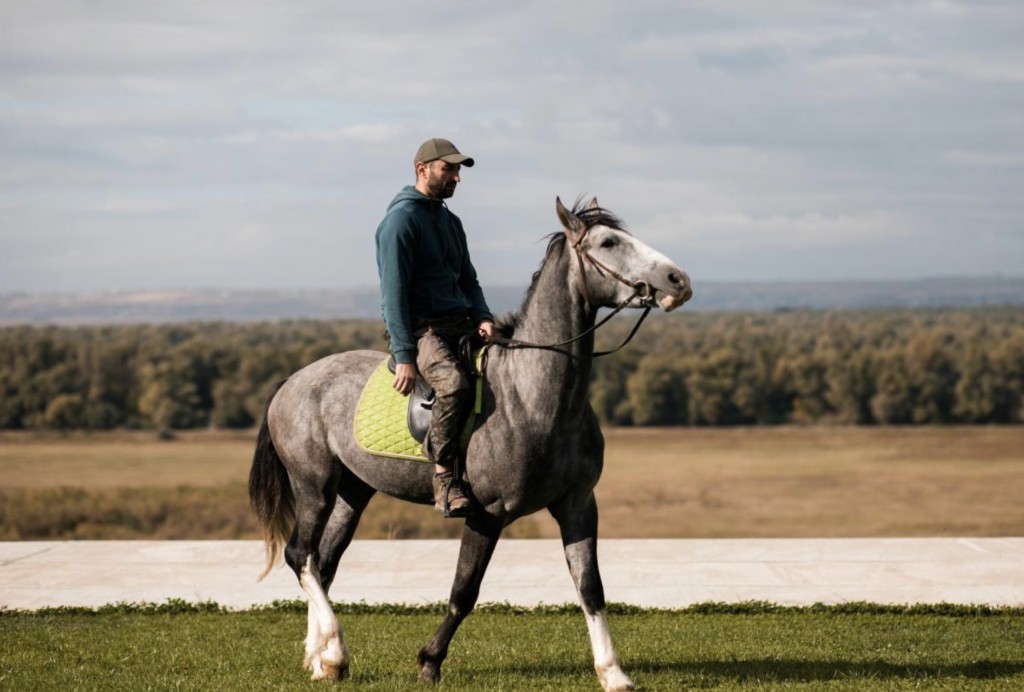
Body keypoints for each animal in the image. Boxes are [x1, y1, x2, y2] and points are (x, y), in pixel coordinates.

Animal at [250, 195, 692, 692]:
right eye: (609, 242)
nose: (678, 280)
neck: (532, 397)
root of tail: (292, 381)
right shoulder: (487, 514)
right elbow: (464, 591)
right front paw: (429, 661)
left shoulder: (578, 505)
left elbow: (590, 588)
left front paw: (613, 673)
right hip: (314, 486)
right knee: (299, 556)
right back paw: (335, 650)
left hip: (352, 491)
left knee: (322, 563)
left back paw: (321, 658)